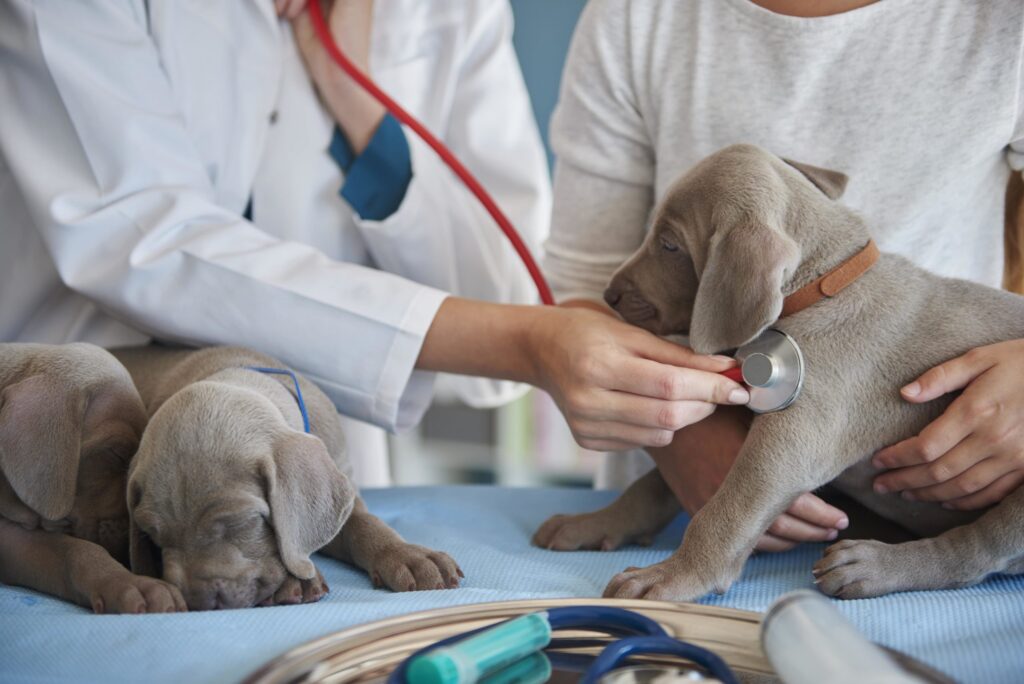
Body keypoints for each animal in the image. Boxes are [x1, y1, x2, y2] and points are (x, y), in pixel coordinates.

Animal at [114, 348, 462, 610]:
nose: (199, 601)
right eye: (152, 535)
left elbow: (364, 524)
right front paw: (293, 580)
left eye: (240, 522)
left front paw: (408, 555)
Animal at [536, 143, 1024, 597]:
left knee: (978, 551)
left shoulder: (793, 440)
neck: (822, 285)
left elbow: (726, 509)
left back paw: (872, 566)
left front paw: (673, 575)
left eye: (670, 245)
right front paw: (594, 522)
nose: (609, 294)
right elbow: (652, 484)